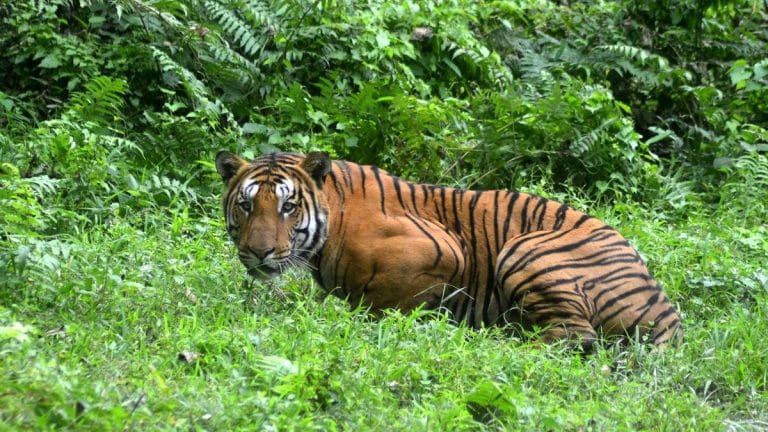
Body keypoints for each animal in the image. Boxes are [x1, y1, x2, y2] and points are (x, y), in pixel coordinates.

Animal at [215, 150, 682, 348]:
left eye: (288, 206)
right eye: (246, 204)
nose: (259, 252)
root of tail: (666, 310)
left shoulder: (443, 250)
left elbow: (383, 303)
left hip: (525, 249)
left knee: (574, 337)